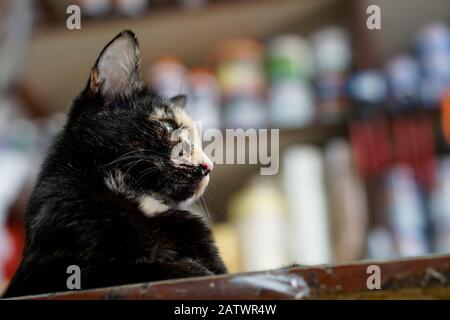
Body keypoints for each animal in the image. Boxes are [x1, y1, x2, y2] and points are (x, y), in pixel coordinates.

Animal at [2, 30, 229, 298]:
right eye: (169, 126)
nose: (208, 167)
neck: (138, 199)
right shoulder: (61, 272)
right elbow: (141, 269)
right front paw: (192, 270)